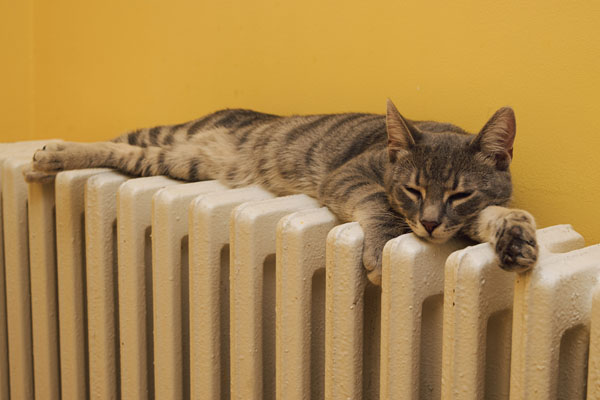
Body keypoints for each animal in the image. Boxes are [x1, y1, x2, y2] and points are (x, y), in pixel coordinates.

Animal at [24, 99, 540, 284]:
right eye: (412, 189)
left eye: (459, 195)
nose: (430, 224)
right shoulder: (349, 175)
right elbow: (378, 204)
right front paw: (380, 249)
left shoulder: (473, 215)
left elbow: (499, 217)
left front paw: (517, 239)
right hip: (171, 139)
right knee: (115, 139)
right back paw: (45, 155)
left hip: (174, 161)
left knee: (119, 150)